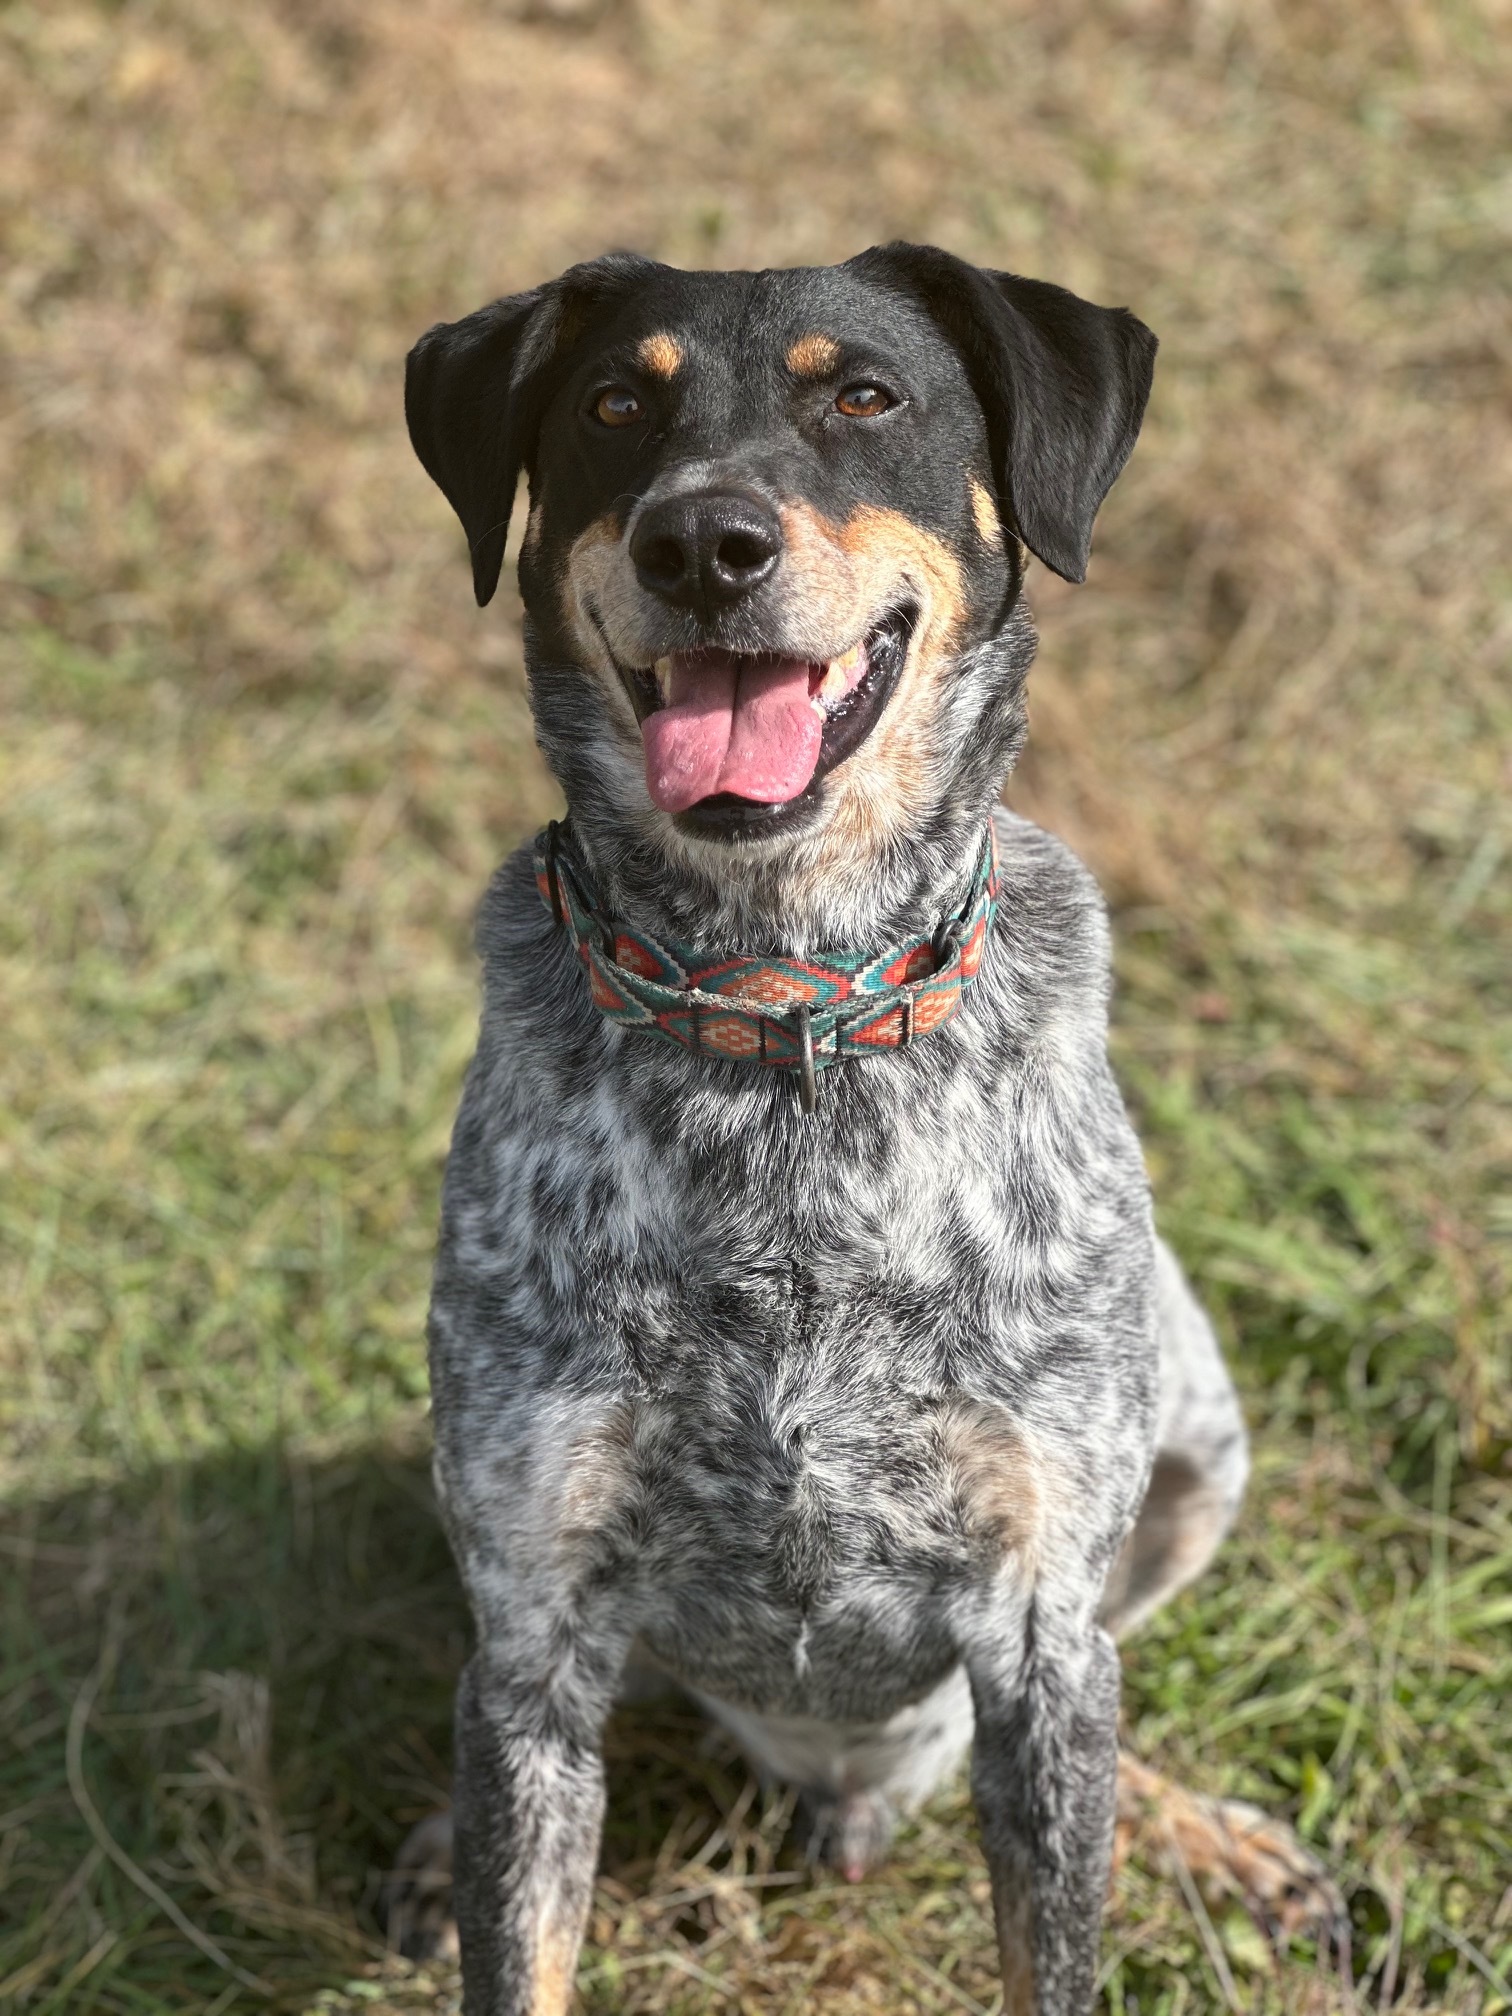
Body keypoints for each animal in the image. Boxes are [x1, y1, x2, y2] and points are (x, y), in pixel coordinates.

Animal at [393, 252, 1338, 2016]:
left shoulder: (1039, 1630)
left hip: (1201, 1450)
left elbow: (1060, 1922)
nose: (703, 542)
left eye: (865, 397)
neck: (780, 1013)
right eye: (615, 404)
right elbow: (520, 1915)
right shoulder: (540, 1618)